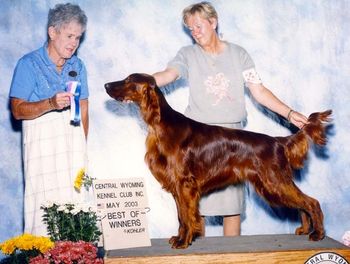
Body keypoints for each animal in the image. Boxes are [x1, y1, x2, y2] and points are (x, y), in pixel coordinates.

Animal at [104, 73, 330, 249]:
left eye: (128, 80)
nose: (106, 85)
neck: (161, 125)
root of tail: (278, 141)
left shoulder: (185, 183)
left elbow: (187, 215)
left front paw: (184, 241)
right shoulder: (177, 186)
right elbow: (181, 216)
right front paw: (180, 237)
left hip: (274, 181)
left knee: (311, 202)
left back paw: (318, 233)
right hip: (274, 183)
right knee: (302, 203)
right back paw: (305, 229)